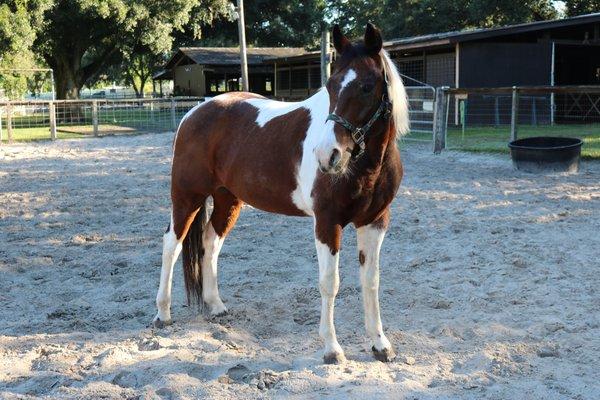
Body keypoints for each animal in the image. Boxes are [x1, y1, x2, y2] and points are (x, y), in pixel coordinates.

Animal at [152, 23, 410, 364]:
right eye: (330, 85)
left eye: (368, 87)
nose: (327, 155)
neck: (366, 165)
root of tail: (192, 113)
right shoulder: (327, 223)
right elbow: (330, 283)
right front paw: (331, 349)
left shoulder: (375, 222)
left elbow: (371, 281)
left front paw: (380, 345)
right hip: (187, 197)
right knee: (172, 244)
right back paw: (162, 314)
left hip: (227, 199)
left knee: (210, 241)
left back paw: (216, 306)